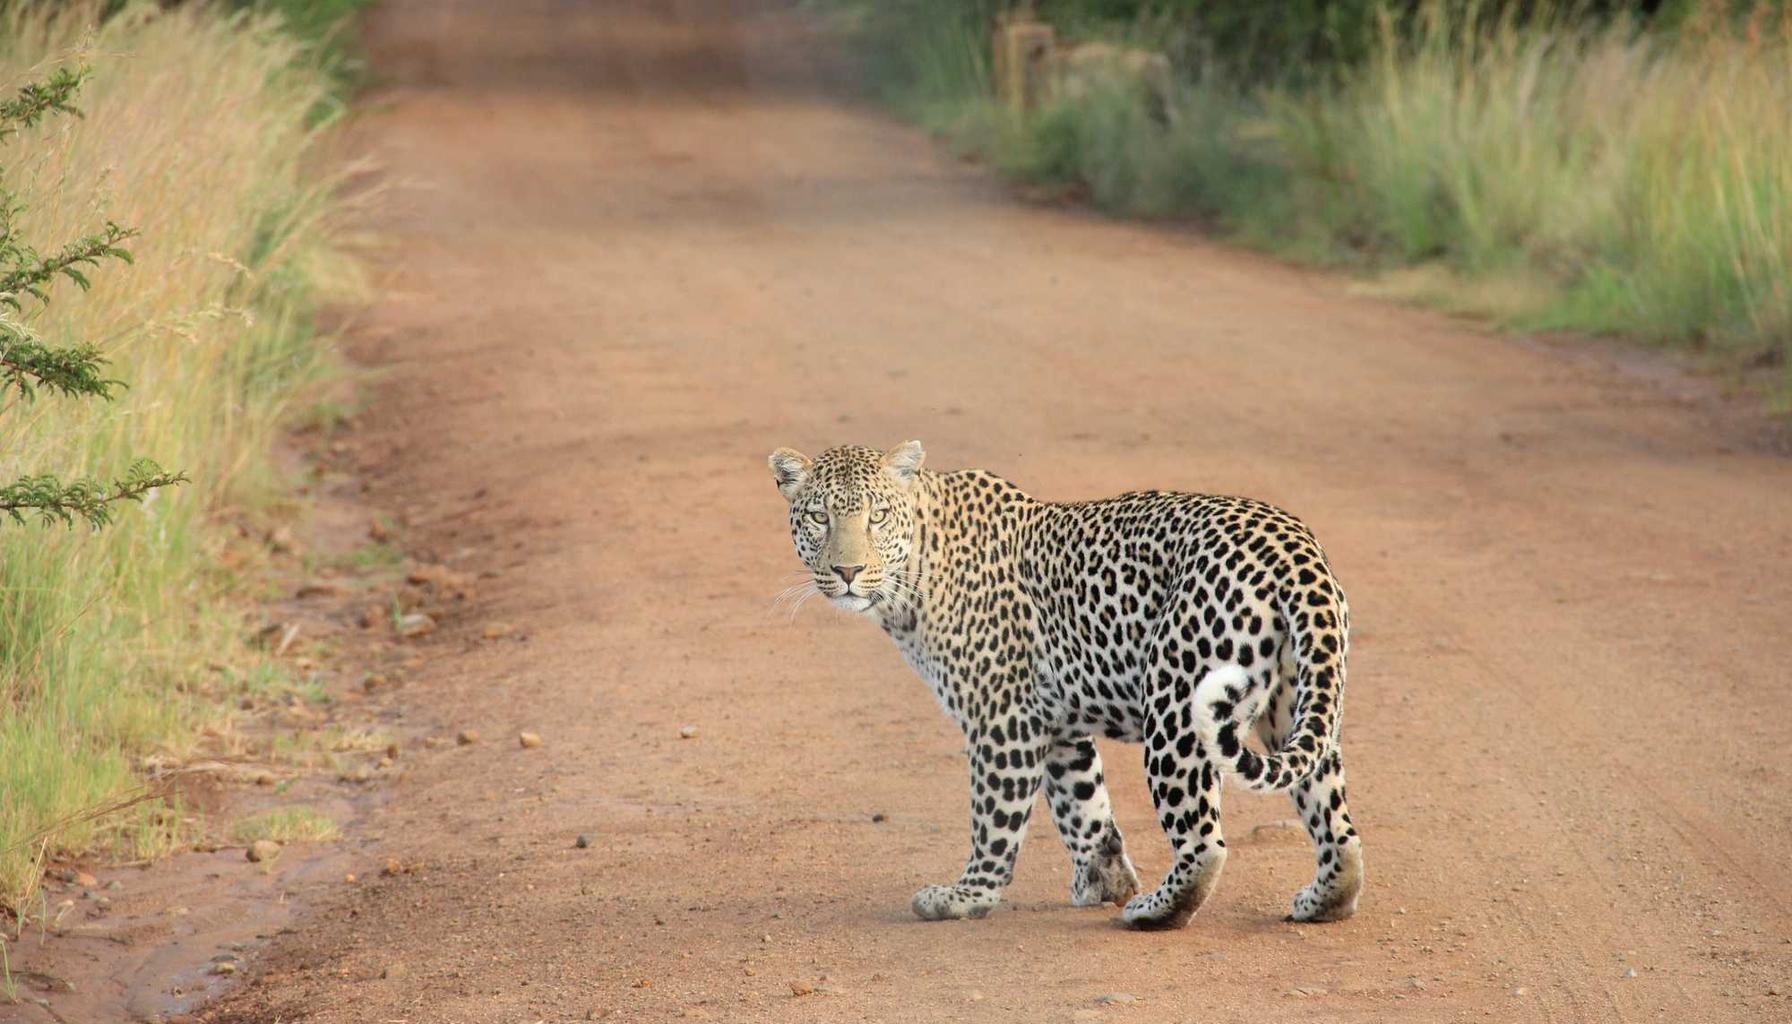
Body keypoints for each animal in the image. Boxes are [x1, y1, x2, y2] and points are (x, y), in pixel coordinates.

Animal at [763, 441, 1361, 932]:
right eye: (819, 517)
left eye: (878, 515)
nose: (847, 571)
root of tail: (1293, 548)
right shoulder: (1055, 723)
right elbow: (1084, 807)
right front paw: (1104, 880)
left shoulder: (1002, 717)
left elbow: (995, 819)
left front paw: (966, 896)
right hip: (1296, 703)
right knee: (1337, 824)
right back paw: (1323, 901)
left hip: (1177, 706)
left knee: (1203, 842)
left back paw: (1154, 911)